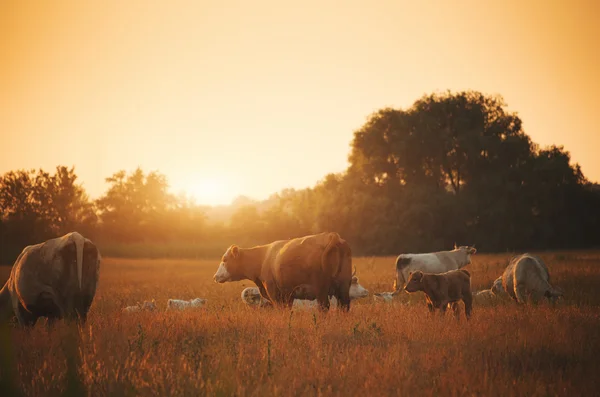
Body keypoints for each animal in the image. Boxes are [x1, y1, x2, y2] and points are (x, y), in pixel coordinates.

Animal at [213, 230, 352, 310]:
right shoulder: (288, 294)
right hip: (344, 286)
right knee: (344, 306)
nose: (215, 276)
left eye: (224, 259)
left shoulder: (273, 292)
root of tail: (331, 236)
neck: (263, 257)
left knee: (324, 307)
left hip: (321, 289)